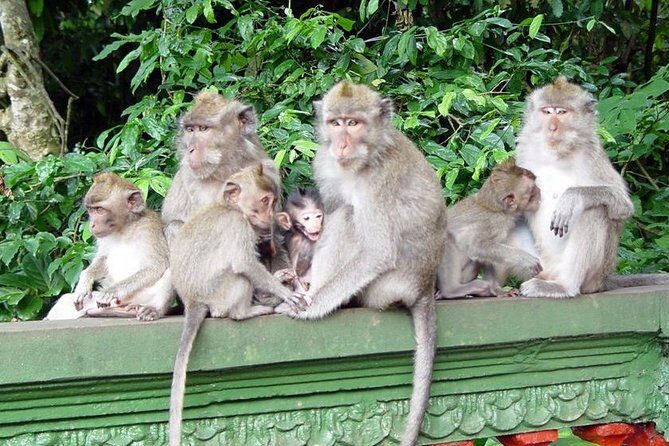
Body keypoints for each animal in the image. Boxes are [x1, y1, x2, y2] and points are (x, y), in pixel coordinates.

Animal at [44, 173, 172, 321]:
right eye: (91, 209)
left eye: (99, 210)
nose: (91, 225)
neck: (124, 229)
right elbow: (103, 258)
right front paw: (84, 281)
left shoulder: (149, 228)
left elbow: (156, 266)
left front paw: (112, 291)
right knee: (66, 301)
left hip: (144, 297)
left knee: (170, 269)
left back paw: (152, 309)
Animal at [168, 164, 304, 446]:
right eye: (264, 201)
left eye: (272, 201)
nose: (272, 216)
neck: (230, 207)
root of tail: (191, 301)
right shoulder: (238, 226)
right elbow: (245, 264)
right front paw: (283, 292)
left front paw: (280, 279)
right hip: (219, 294)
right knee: (238, 277)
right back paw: (246, 311)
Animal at [275, 82, 447, 446]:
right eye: (336, 123)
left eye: (354, 123)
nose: (341, 143)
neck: (362, 160)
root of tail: (424, 286)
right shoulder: (325, 162)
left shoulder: (380, 179)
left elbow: (378, 250)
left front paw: (309, 307)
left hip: (386, 288)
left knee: (350, 218)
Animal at [436, 159, 542, 299]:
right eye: (533, 190)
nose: (540, 191)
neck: (498, 209)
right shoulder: (494, 224)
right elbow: (477, 247)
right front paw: (525, 259)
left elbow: (487, 254)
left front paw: (497, 290)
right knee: (447, 240)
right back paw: (451, 290)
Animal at [516, 76, 669, 298]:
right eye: (547, 111)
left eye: (561, 112)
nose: (552, 128)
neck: (556, 153)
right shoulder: (523, 152)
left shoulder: (592, 153)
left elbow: (623, 205)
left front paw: (571, 198)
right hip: (539, 264)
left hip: (593, 276)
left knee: (594, 210)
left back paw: (564, 286)